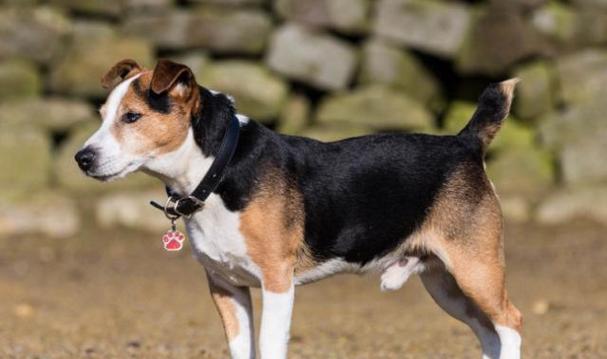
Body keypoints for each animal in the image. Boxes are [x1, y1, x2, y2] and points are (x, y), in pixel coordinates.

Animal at [75, 59, 524, 359]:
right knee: (490, 334)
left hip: (475, 270)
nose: (82, 158)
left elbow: (270, 347)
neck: (219, 168)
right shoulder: (226, 287)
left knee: (511, 324)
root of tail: (464, 142)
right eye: (102, 116)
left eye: (132, 117)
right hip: (446, 285)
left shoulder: (277, 283)